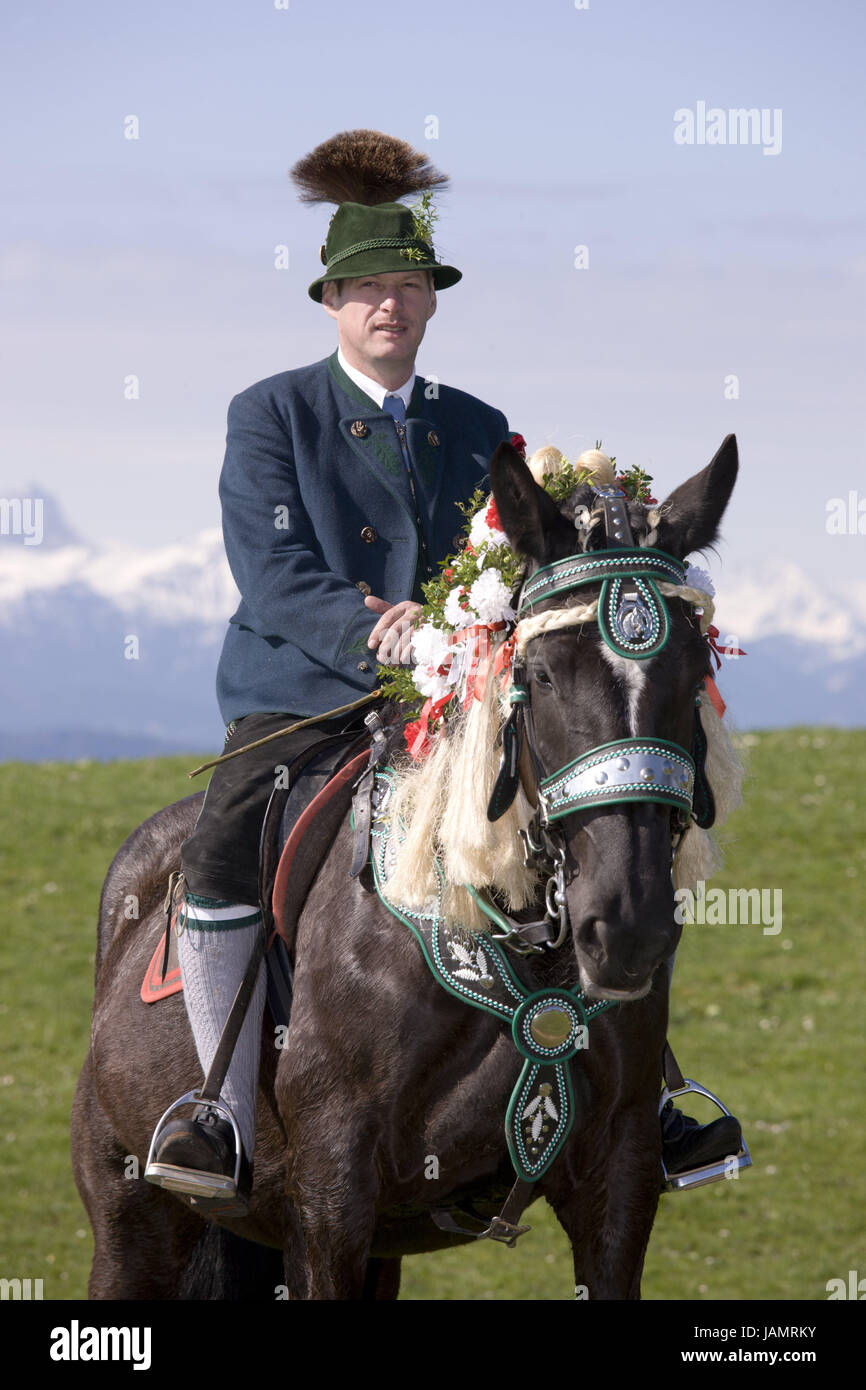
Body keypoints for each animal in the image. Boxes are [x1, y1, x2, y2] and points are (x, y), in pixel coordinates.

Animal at [72, 433, 739, 1301]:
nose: (627, 928)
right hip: (133, 1221)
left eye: (695, 672)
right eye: (544, 674)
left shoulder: (619, 1178)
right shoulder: (331, 1195)